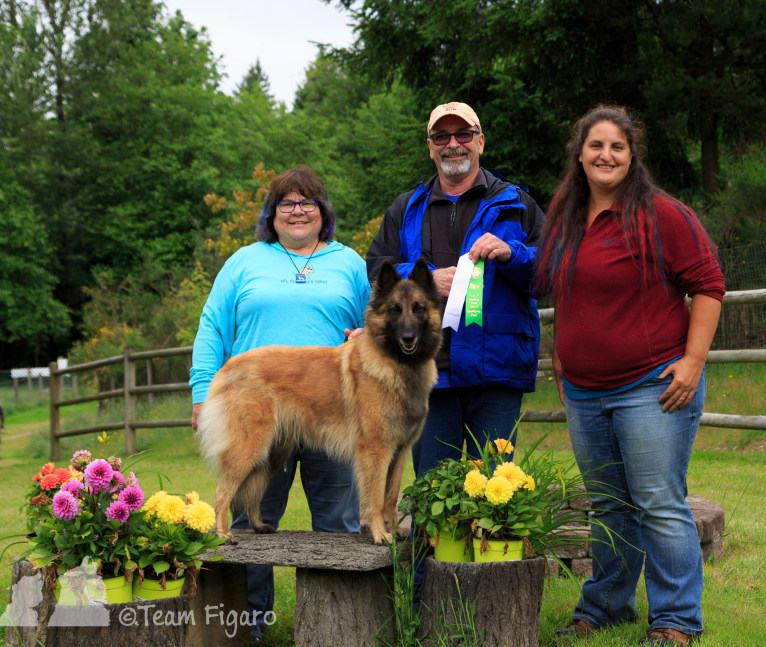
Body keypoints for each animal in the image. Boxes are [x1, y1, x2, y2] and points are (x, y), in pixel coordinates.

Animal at [198, 260, 444, 544]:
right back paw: (222, 534)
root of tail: (226, 368)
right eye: (394, 310)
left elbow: (391, 497)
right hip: (249, 447)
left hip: (272, 452)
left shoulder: (400, 451)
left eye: (418, 308)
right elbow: (374, 498)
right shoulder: (376, 450)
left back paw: (258, 525)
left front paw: (393, 531)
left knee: (254, 490)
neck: (396, 364)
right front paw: (381, 534)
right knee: (221, 493)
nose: (408, 338)